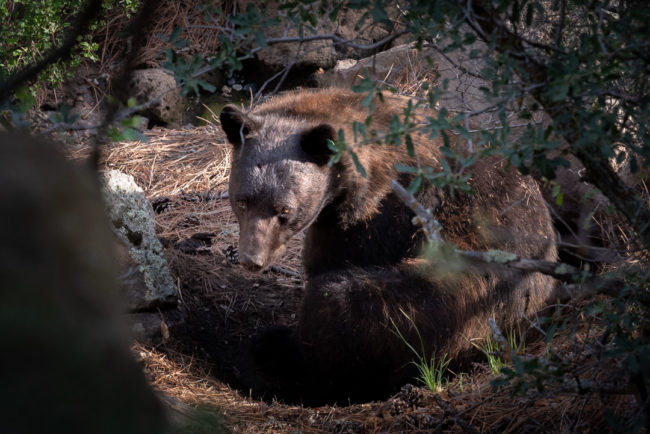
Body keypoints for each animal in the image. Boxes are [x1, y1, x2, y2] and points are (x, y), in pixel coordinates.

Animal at [220, 87, 556, 404]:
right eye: (243, 200)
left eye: (284, 210)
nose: (252, 259)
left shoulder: (381, 217)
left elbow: (332, 264)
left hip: (454, 300)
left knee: (339, 302)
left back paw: (278, 347)